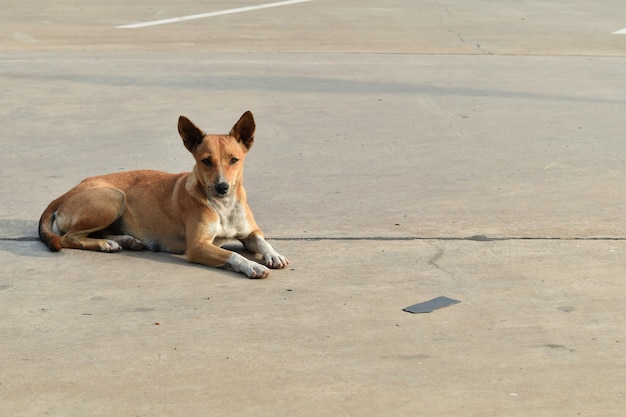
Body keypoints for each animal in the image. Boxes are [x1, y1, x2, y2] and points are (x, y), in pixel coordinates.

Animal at [40, 112, 288, 278]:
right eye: (205, 161)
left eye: (234, 160)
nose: (222, 187)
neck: (223, 206)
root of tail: (64, 194)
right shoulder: (197, 246)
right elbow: (234, 255)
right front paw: (252, 265)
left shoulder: (250, 232)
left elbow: (262, 241)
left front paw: (273, 254)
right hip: (114, 197)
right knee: (68, 237)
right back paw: (104, 244)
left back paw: (124, 240)